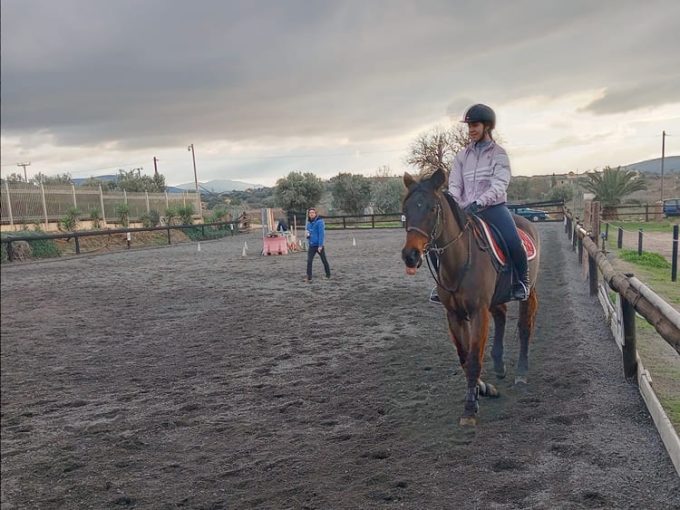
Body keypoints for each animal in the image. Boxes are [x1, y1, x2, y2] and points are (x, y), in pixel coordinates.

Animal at [402, 168, 540, 426]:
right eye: (405, 210)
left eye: (432, 208)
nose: (410, 255)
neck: (459, 260)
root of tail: (526, 223)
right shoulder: (454, 315)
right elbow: (464, 358)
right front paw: (482, 390)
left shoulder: (478, 312)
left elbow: (474, 358)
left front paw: (469, 409)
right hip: (495, 299)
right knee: (501, 316)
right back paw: (499, 365)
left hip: (527, 293)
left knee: (525, 327)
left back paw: (522, 373)